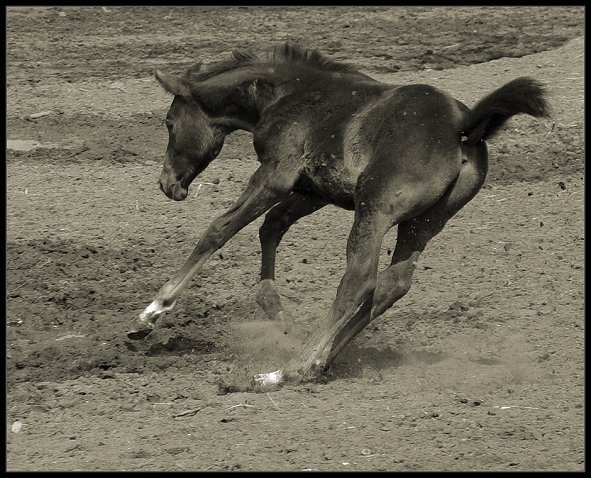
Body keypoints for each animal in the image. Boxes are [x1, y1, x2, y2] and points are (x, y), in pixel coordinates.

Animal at [128, 43, 552, 388]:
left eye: (169, 123)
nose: (168, 184)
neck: (287, 93)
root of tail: (463, 127)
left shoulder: (277, 175)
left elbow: (219, 229)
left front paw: (151, 314)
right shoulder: (313, 190)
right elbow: (272, 227)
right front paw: (277, 313)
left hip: (375, 210)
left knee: (359, 281)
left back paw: (285, 372)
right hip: (424, 223)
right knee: (392, 284)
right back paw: (318, 362)